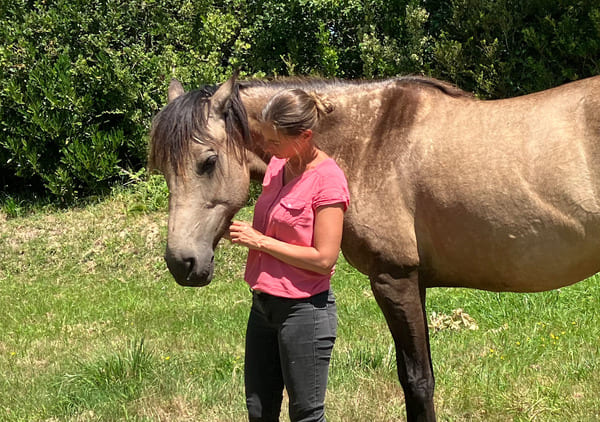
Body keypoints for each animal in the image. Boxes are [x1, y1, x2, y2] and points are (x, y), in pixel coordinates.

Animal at [146, 74, 600, 420]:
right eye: (164, 168)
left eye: (207, 162)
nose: (182, 263)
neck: (368, 143)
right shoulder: (413, 284)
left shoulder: (392, 280)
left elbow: (417, 381)